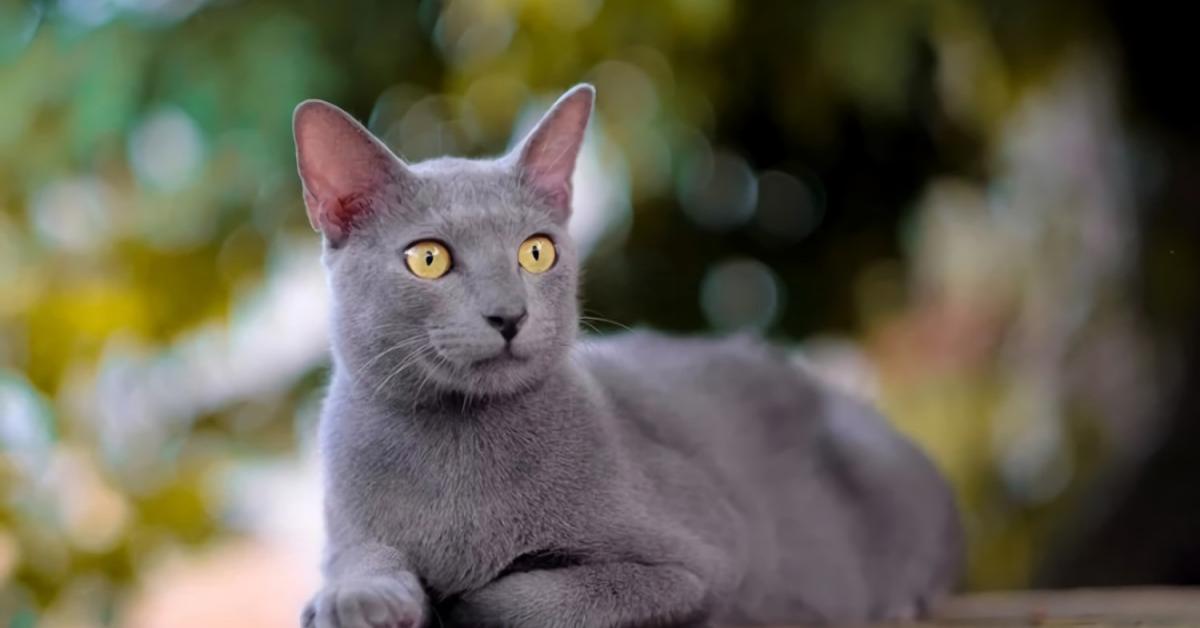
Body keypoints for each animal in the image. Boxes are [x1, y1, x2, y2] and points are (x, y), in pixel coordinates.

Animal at [292, 84, 964, 628]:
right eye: (428, 259)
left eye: (536, 252)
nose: (509, 314)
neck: (457, 450)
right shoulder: (346, 527)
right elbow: (358, 557)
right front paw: (356, 599)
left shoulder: (702, 560)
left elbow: (528, 598)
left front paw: (450, 598)